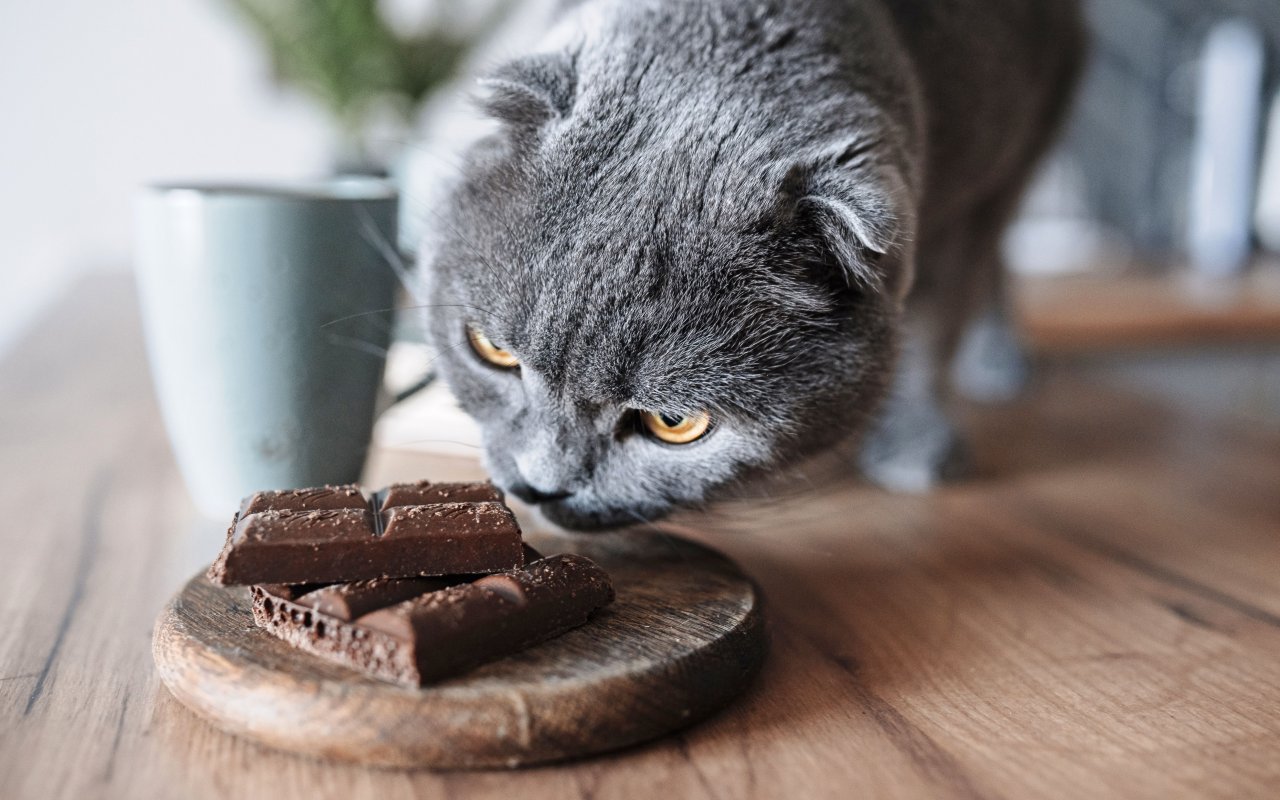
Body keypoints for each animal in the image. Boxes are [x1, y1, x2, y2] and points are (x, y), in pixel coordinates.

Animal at [424, 0, 1085, 529]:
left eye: (675, 423)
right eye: (491, 350)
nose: (539, 485)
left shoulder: (981, 188)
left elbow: (940, 314)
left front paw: (915, 441)